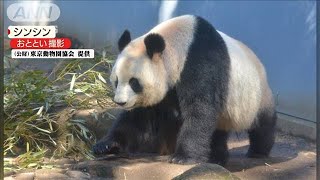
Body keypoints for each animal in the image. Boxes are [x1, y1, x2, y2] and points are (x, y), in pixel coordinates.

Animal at [92, 14, 276, 167]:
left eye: (134, 82)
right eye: (116, 81)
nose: (120, 102)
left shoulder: (201, 61)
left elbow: (200, 109)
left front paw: (183, 157)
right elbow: (137, 117)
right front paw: (105, 145)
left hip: (256, 95)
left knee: (263, 124)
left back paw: (258, 151)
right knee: (218, 130)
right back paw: (217, 157)